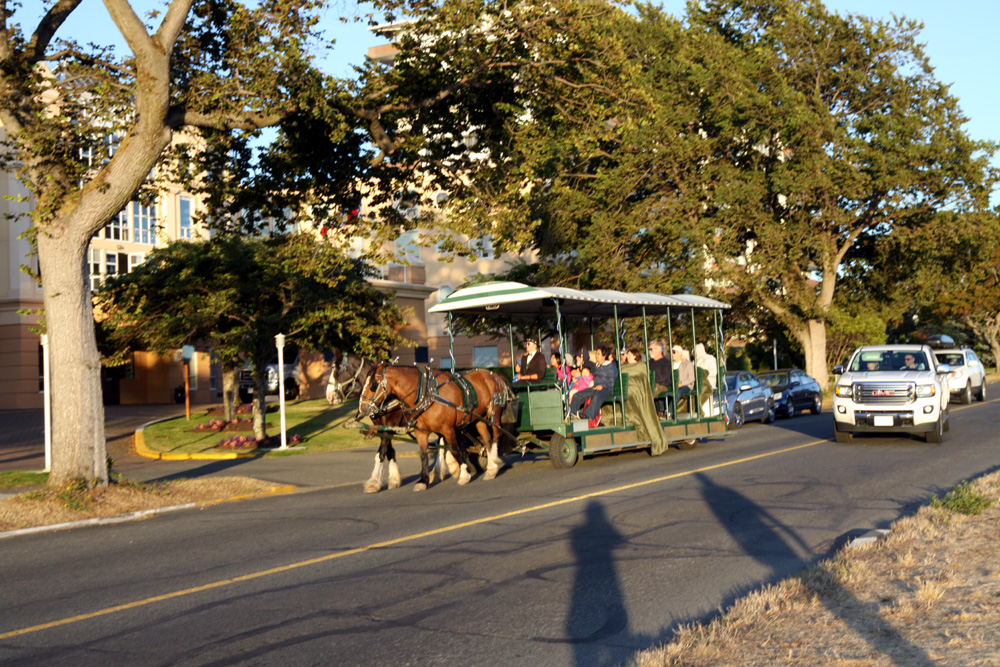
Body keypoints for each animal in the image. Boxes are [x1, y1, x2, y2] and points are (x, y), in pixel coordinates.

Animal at [360, 362, 516, 494]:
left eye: (373, 385)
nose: (362, 408)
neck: (426, 394)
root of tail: (494, 374)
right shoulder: (420, 431)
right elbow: (423, 455)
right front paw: (423, 481)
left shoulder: (447, 428)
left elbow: (455, 449)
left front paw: (464, 474)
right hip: (479, 418)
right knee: (487, 440)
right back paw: (491, 468)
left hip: (493, 412)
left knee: (496, 436)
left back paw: (493, 462)